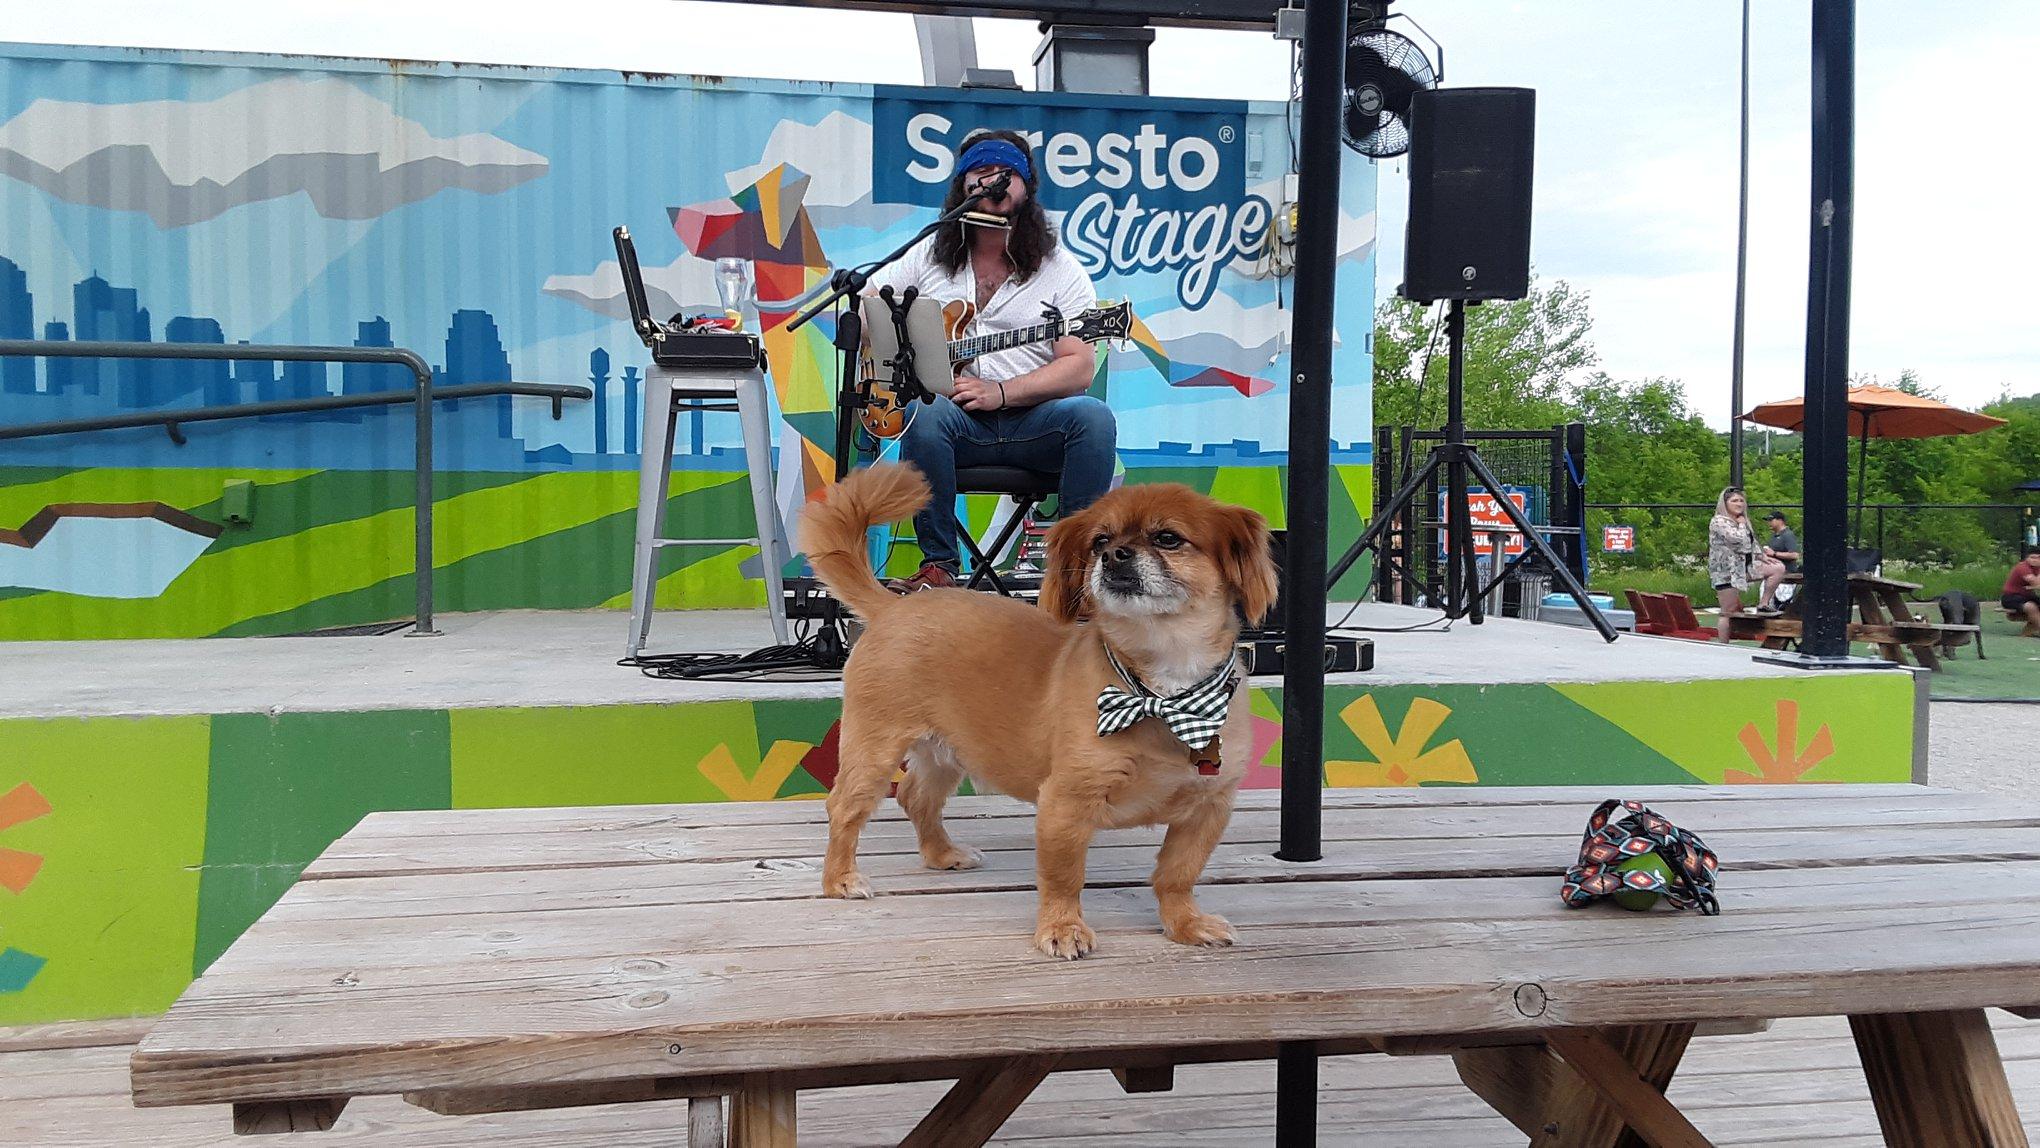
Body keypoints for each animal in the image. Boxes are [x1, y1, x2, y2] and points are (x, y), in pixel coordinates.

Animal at [799, 462, 1264, 958]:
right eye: (1099, 540)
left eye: (1169, 538)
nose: (1114, 555)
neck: (1161, 690)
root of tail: (893, 607)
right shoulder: (1065, 802)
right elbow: (1063, 877)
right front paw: (1062, 928)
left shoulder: (1208, 808)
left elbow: (1178, 874)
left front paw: (1185, 924)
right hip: (874, 748)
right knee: (844, 806)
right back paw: (840, 879)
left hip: (947, 750)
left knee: (915, 797)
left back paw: (943, 854)